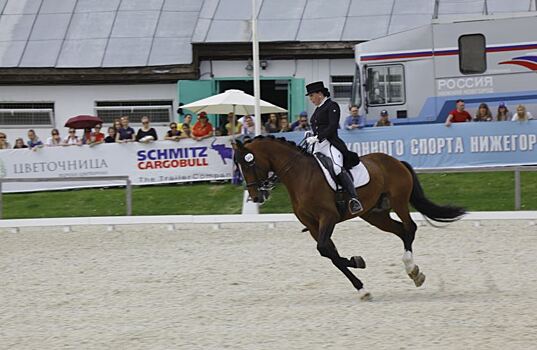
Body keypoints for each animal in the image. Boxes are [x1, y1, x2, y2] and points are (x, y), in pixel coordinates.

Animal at [231, 136, 464, 300]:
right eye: (239, 165)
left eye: (249, 163)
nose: (255, 197)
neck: (300, 175)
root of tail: (396, 160)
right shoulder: (313, 225)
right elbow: (331, 255)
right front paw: (360, 281)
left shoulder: (328, 217)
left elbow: (325, 250)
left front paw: (358, 264)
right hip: (375, 215)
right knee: (401, 230)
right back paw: (415, 273)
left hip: (398, 201)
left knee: (410, 228)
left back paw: (412, 270)